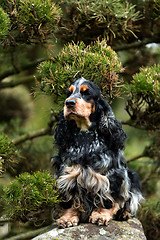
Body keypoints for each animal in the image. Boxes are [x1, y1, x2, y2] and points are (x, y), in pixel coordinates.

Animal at [52, 78, 142, 228]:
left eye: (86, 93)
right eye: (68, 93)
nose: (69, 103)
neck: (85, 136)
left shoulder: (111, 176)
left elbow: (108, 200)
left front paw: (101, 215)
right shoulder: (67, 175)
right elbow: (69, 200)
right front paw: (68, 218)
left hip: (132, 177)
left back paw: (123, 213)